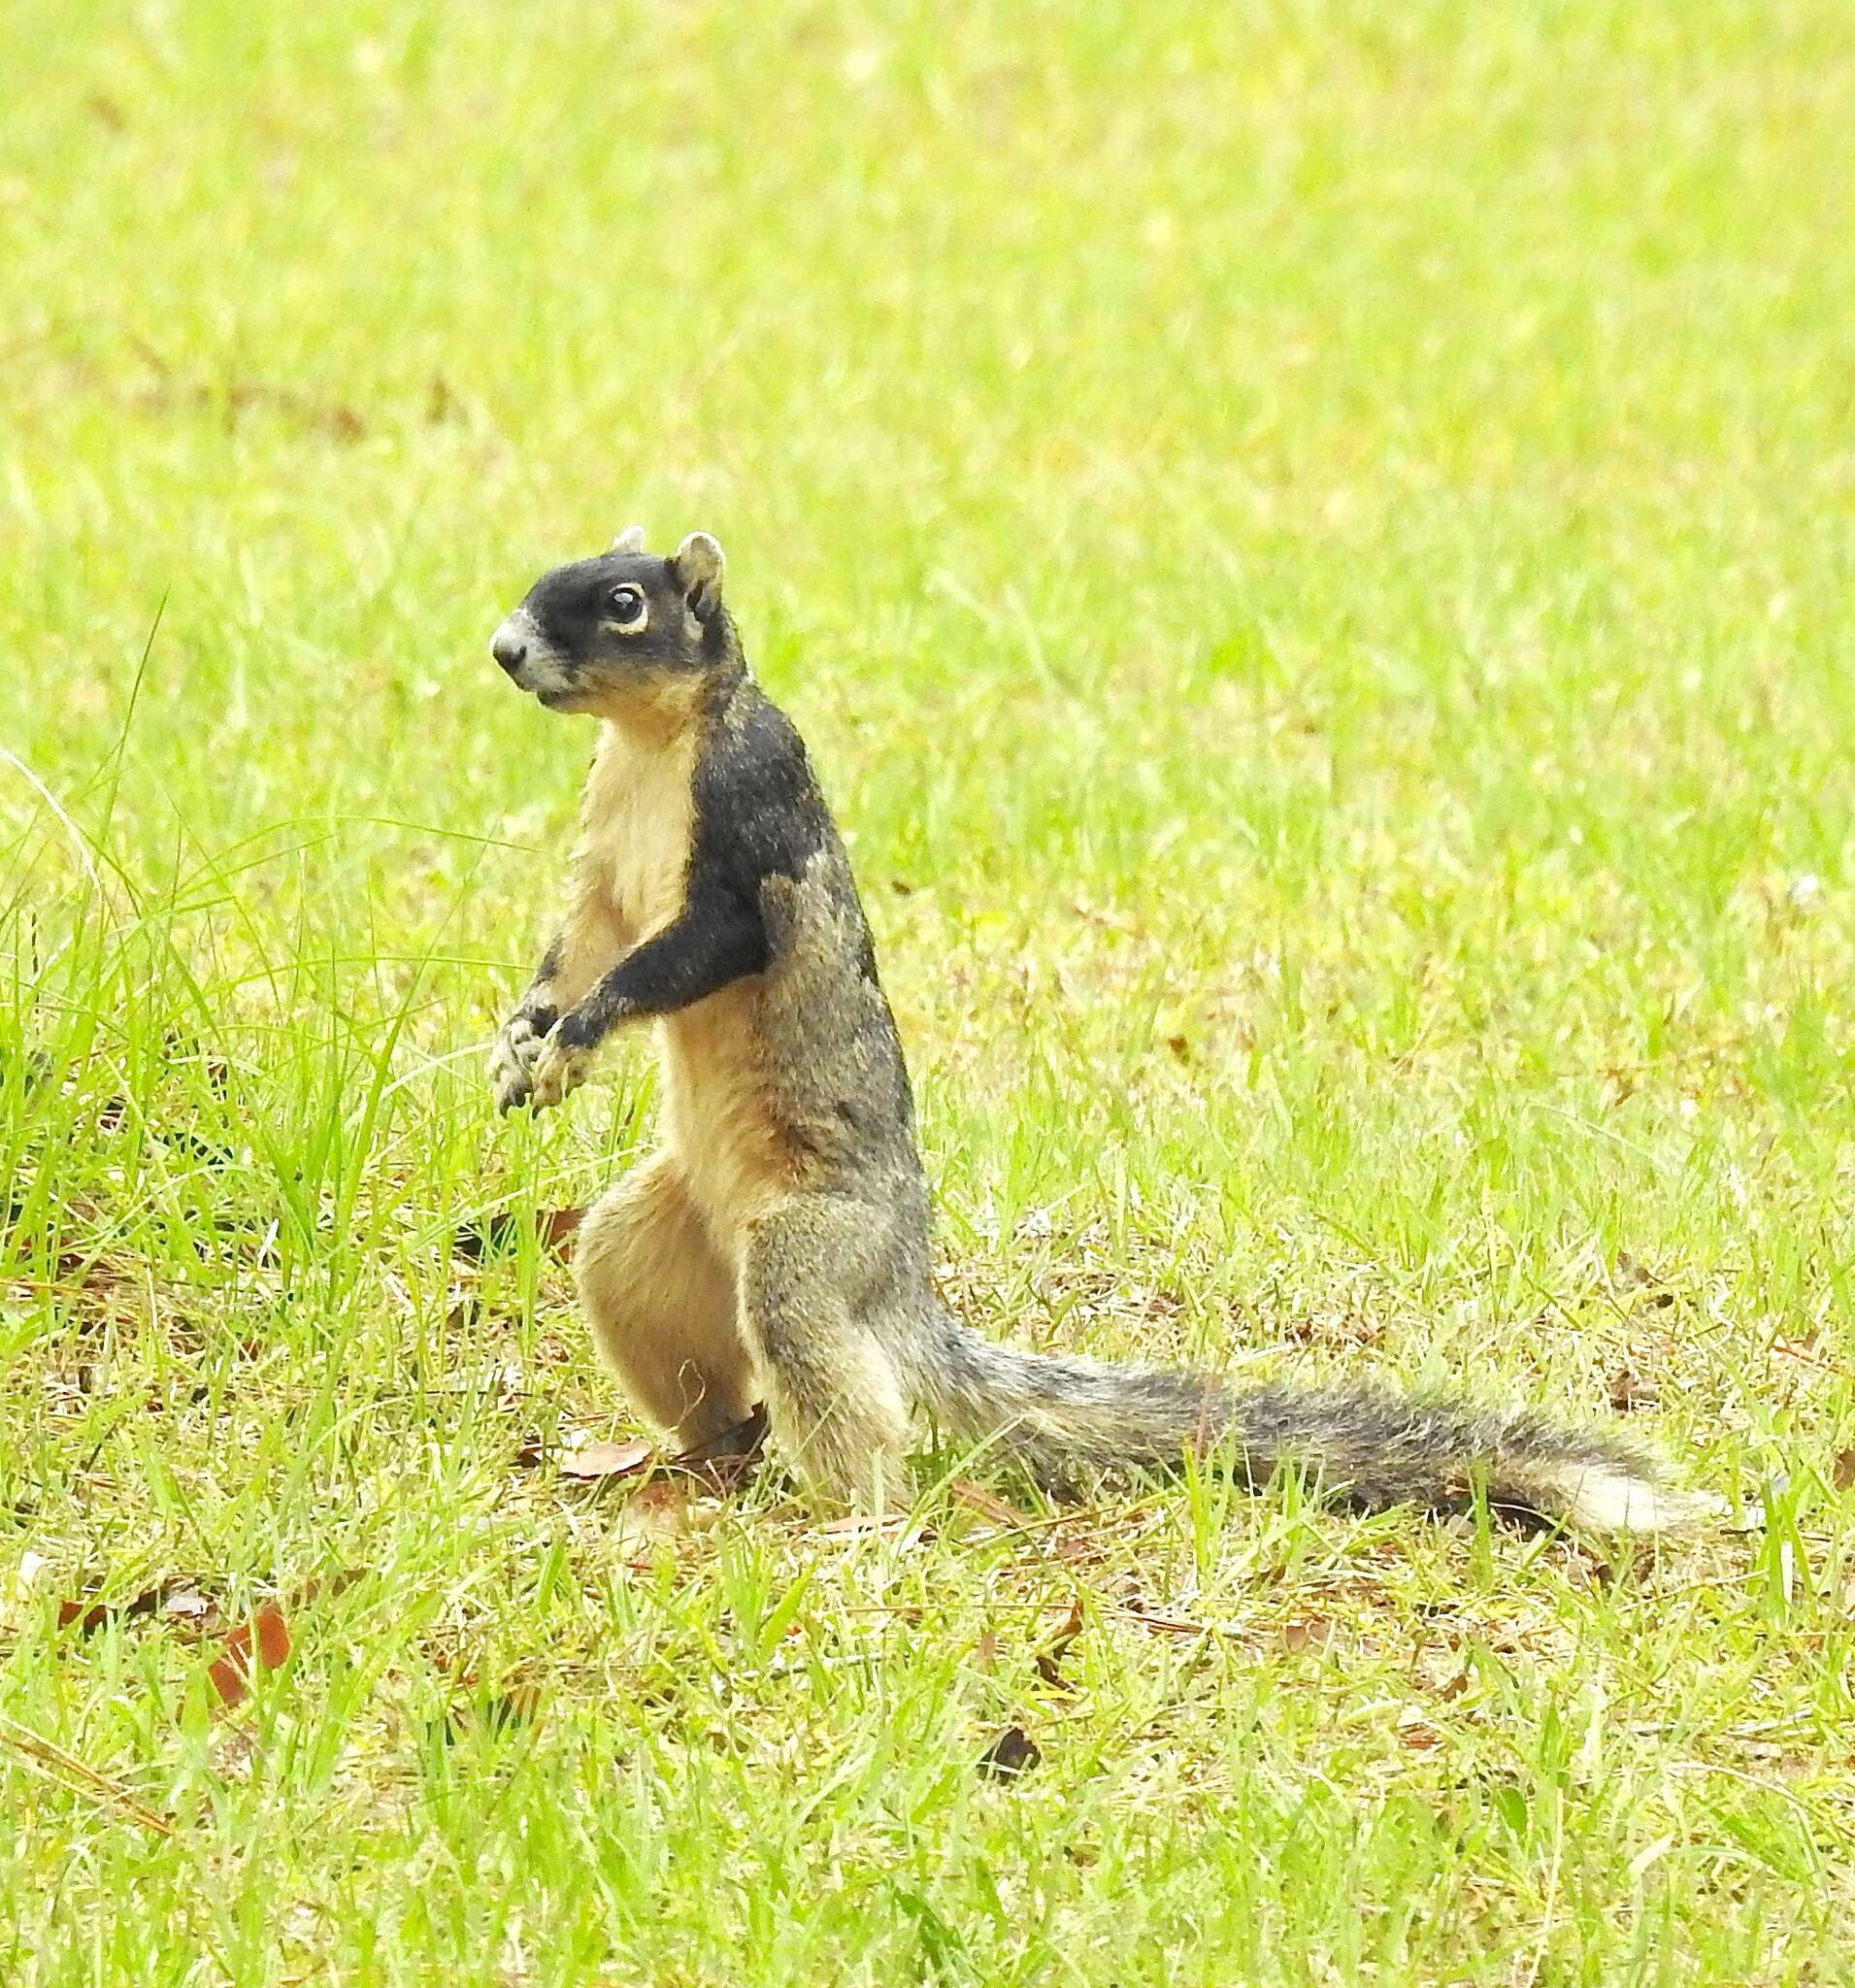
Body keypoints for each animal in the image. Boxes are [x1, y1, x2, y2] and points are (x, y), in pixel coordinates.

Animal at [480, 528, 1725, 1535]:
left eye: (625, 602)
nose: (504, 648)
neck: (652, 748)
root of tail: (900, 1286)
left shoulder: (753, 817)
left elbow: (689, 950)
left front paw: (580, 1032)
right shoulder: (604, 864)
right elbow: (584, 938)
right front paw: (522, 1037)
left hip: (809, 1250)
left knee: (833, 1383)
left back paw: (857, 1519)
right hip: (648, 1242)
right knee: (700, 1365)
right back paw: (679, 1461)